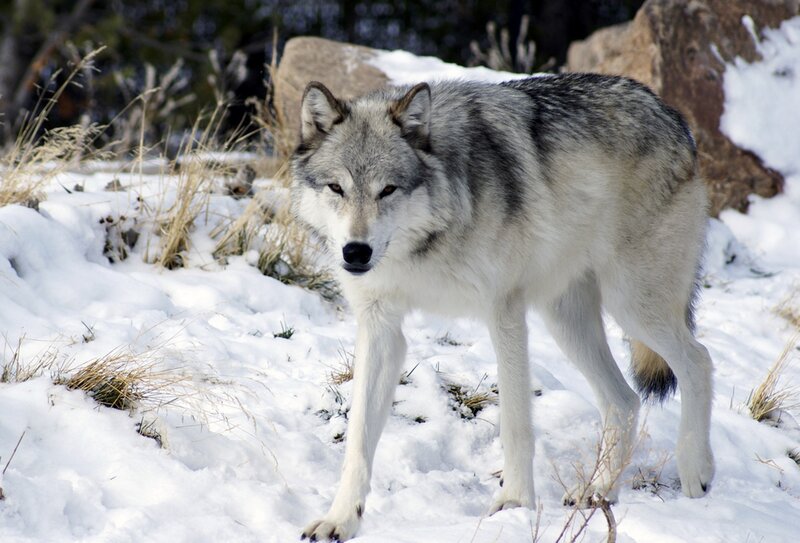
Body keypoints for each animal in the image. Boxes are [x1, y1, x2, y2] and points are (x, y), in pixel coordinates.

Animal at [291, 73, 714, 541]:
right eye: (336, 188)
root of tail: (672, 115)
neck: (425, 243)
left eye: (388, 190)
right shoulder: (381, 328)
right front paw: (341, 519)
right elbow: (359, 438)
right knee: (624, 401)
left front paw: (513, 504)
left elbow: (515, 424)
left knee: (699, 360)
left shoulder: (504, 314)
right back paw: (599, 491)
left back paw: (696, 472)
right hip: (566, 321)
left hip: (632, 305)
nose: (356, 252)